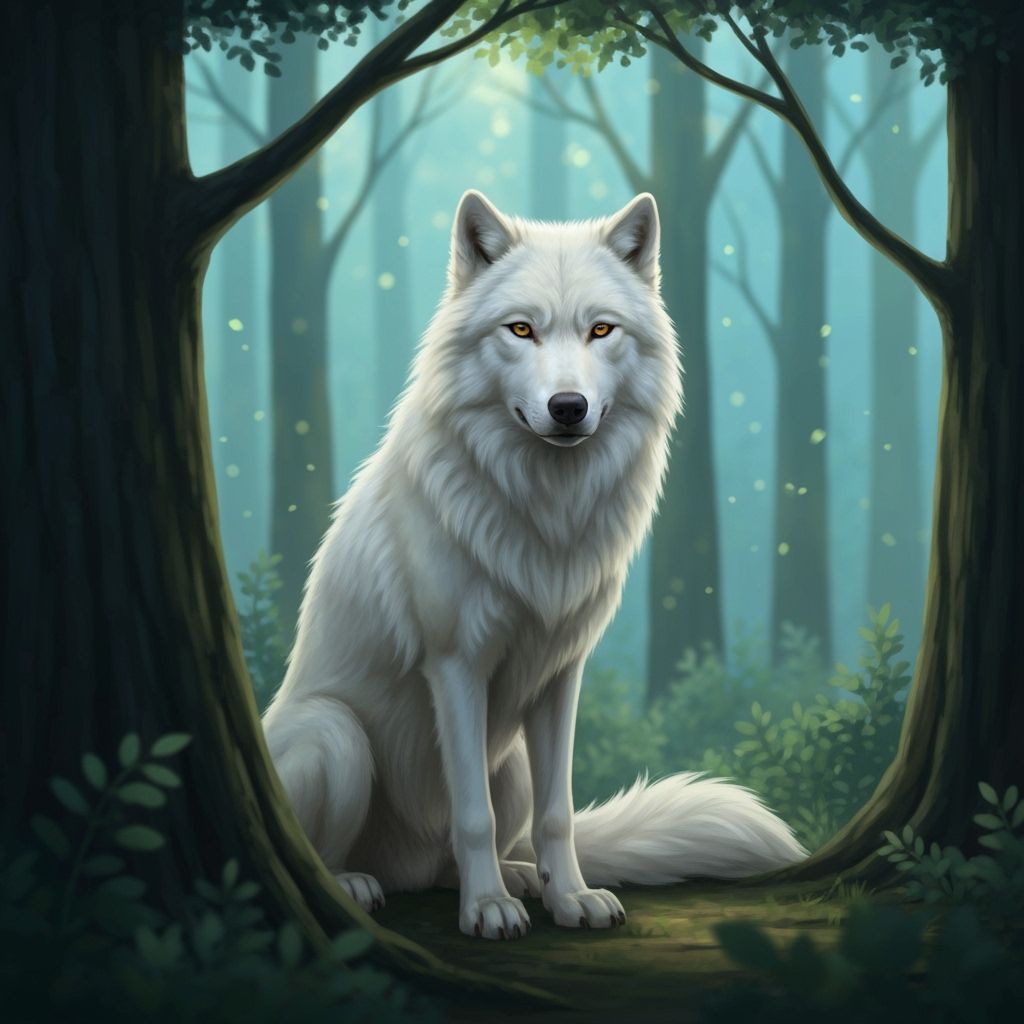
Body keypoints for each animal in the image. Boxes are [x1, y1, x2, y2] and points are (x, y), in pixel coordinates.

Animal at [262, 190, 805, 940]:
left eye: (601, 330)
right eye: (520, 329)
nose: (568, 407)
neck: (546, 511)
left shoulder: (561, 671)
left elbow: (558, 813)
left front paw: (570, 897)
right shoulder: (455, 665)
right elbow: (472, 814)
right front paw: (488, 910)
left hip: (510, 762)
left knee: (460, 854)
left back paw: (519, 878)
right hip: (334, 735)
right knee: (343, 848)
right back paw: (360, 884)